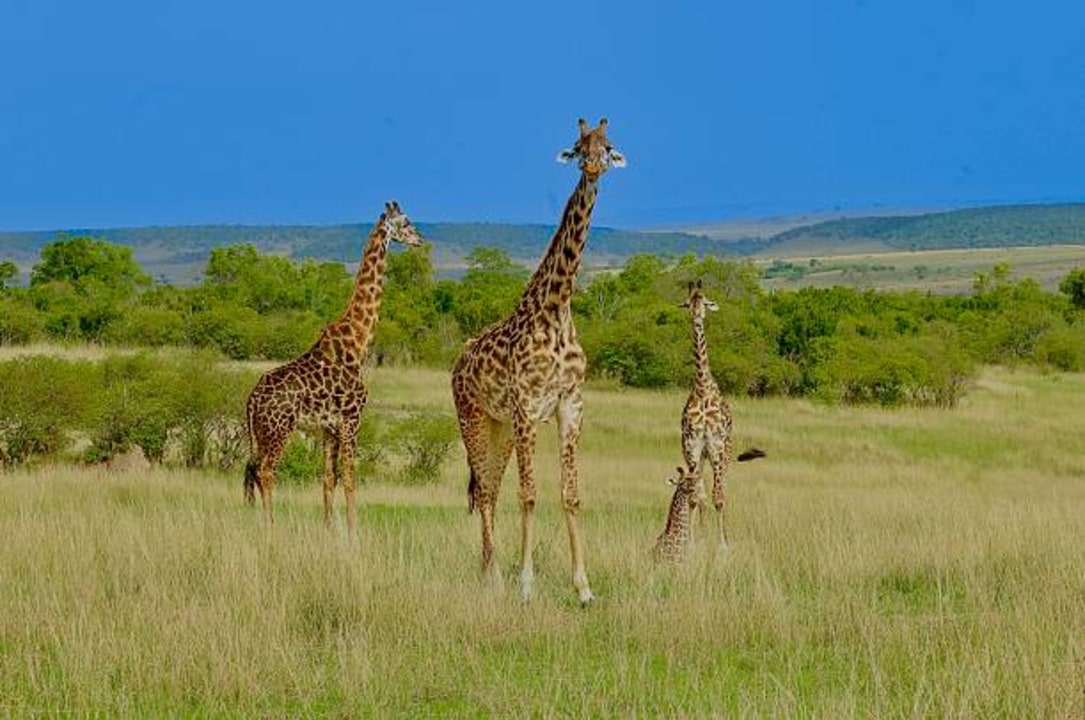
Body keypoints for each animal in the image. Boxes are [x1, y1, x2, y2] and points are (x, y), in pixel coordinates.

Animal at [243, 200, 424, 531]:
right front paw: (354, 531)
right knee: (265, 471)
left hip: (261, 432)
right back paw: (270, 526)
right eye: (405, 222)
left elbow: (329, 479)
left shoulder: (328, 429)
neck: (358, 342)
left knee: (252, 471)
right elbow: (351, 478)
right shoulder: (352, 421)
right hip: (279, 430)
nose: (419, 239)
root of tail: (252, 400)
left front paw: (330, 528)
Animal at [450, 118, 625, 604]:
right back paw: (493, 577)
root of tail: (456, 365)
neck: (557, 308)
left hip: (501, 426)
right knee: (485, 491)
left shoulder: (570, 404)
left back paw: (487, 572)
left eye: (608, 146)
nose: (592, 166)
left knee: (489, 488)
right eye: (578, 146)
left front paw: (584, 588)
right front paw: (526, 586)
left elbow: (570, 494)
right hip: (473, 417)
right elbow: (529, 494)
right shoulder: (527, 406)